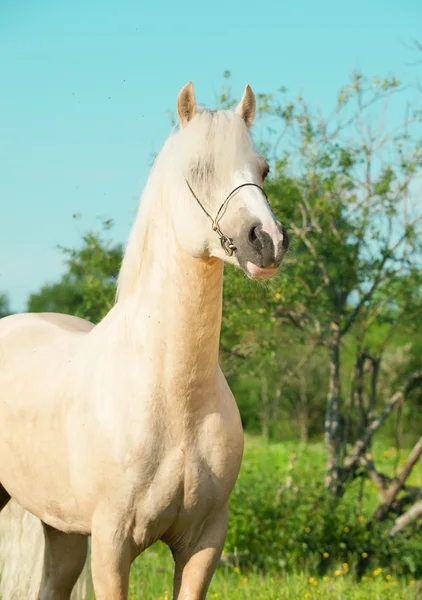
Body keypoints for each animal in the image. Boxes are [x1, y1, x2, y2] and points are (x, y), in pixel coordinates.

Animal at [0, 81, 286, 600]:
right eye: (198, 169)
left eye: (263, 170)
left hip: (62, 529)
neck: (173, 397)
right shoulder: (112, 545)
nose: (268, 241)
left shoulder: (204, 542)